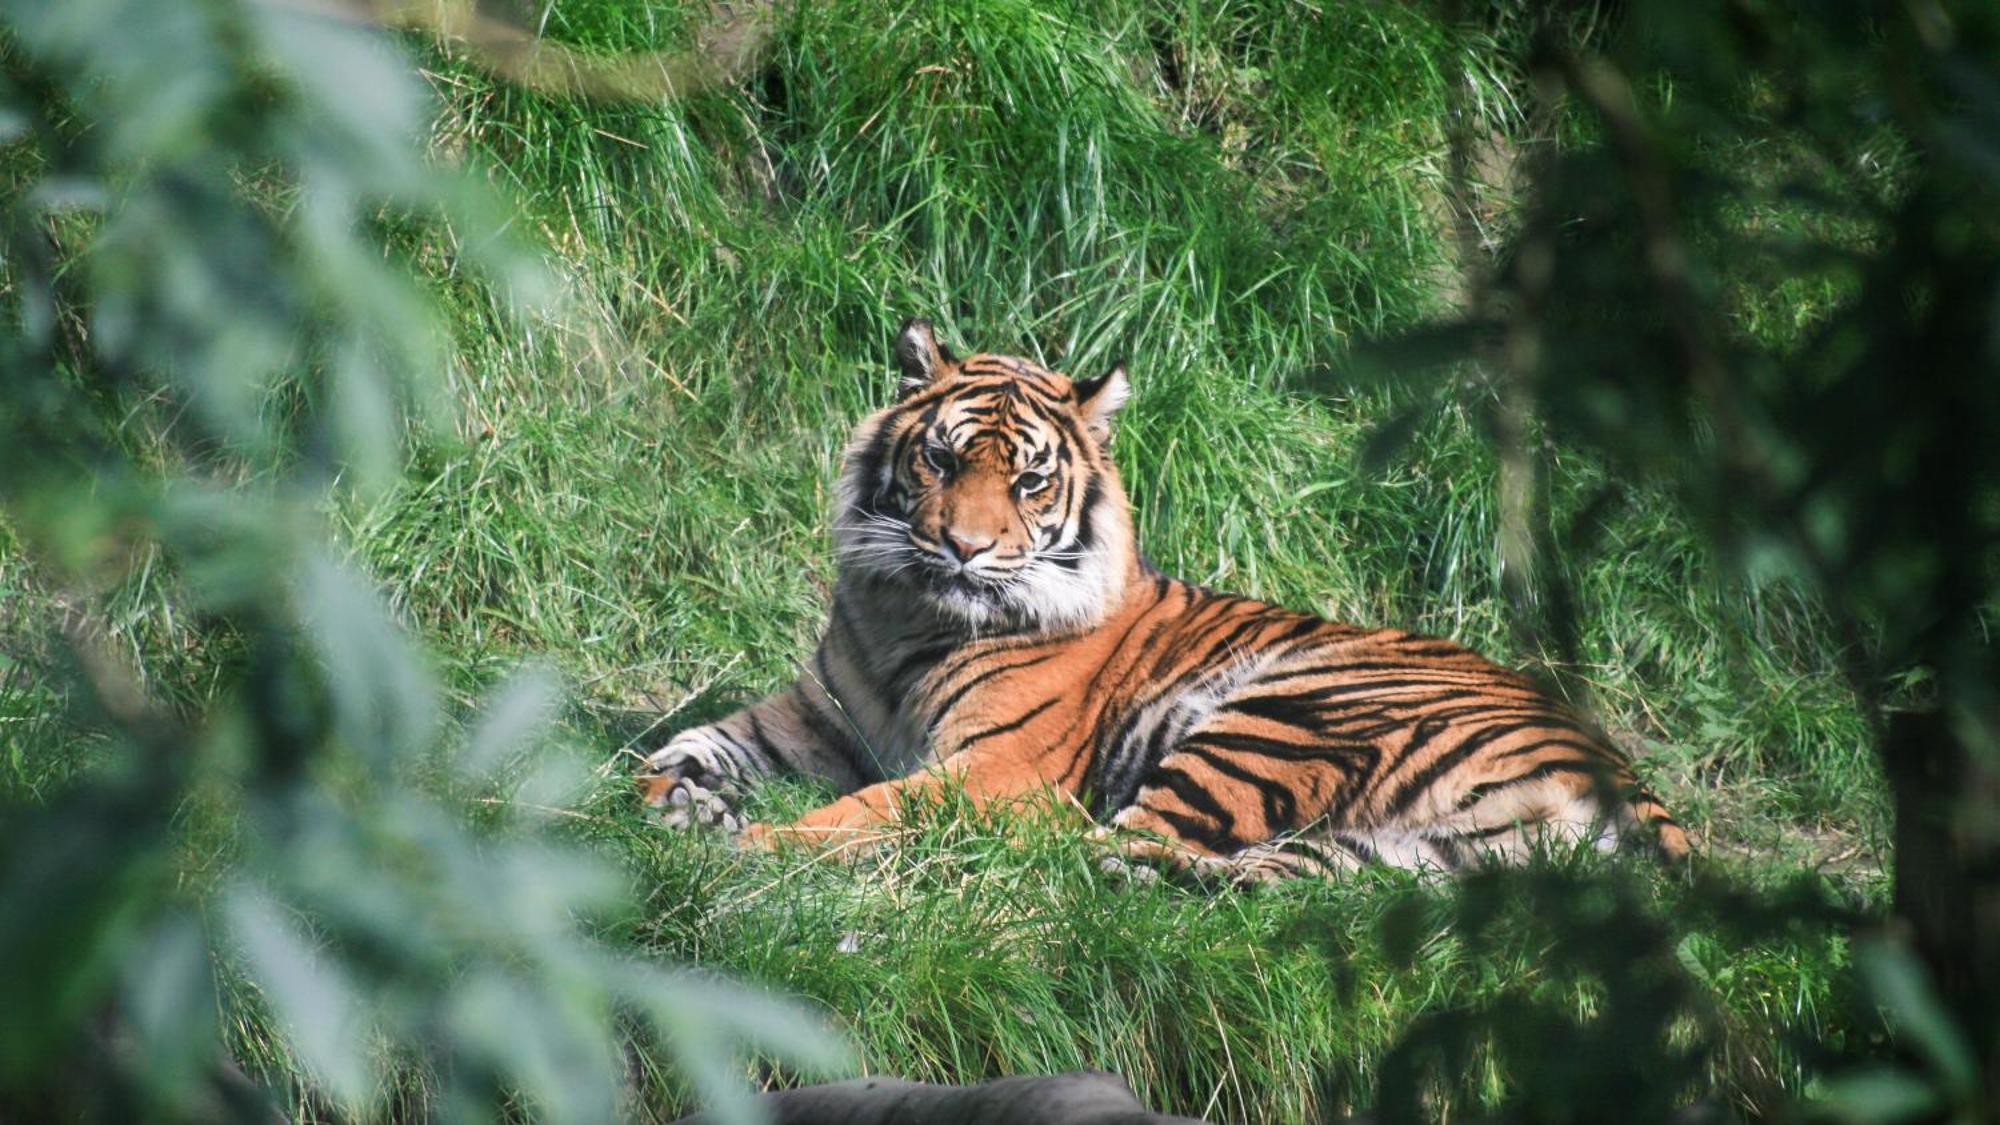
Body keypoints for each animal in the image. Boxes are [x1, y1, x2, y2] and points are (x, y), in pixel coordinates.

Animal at [640, 320, 1688, 880]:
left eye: (1028, 481)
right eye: (938, 458)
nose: (964, 546)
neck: (911, 614)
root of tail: (1621, 768)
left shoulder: (996, 769)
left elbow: (864, 810)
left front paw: (751, 839)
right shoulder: (810, 718)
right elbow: (696, 741)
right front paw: (670, 793)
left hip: (1287, 714)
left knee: (1088, 844)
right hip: (1403, 855)